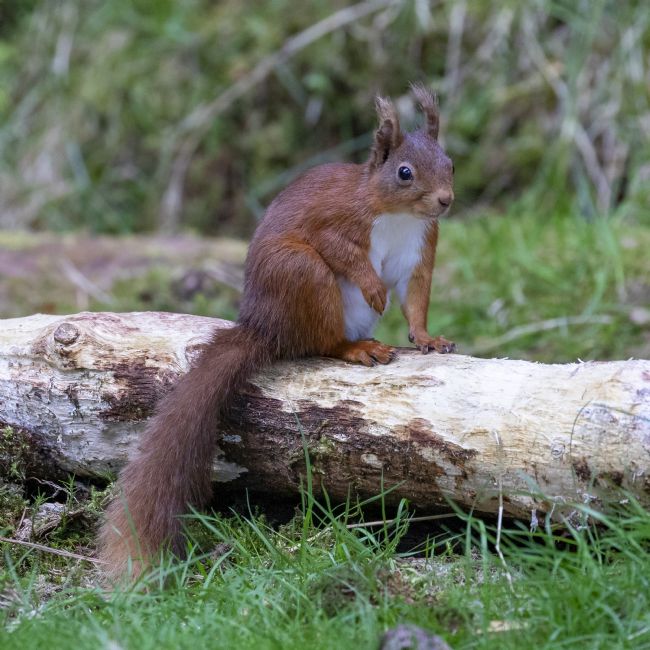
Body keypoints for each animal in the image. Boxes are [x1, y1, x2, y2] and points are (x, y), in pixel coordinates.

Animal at [99, 83, 455, 579]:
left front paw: (428, 338)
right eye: (404, 172)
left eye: (450, 162)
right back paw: (355, 348)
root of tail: (264, 327)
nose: (445, 200)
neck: (397, 215)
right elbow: (340, 250)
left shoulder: (422, 247)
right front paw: (372, 286)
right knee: (321, 340)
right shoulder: (335, 221)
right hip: (303, 274)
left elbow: (417, 299)